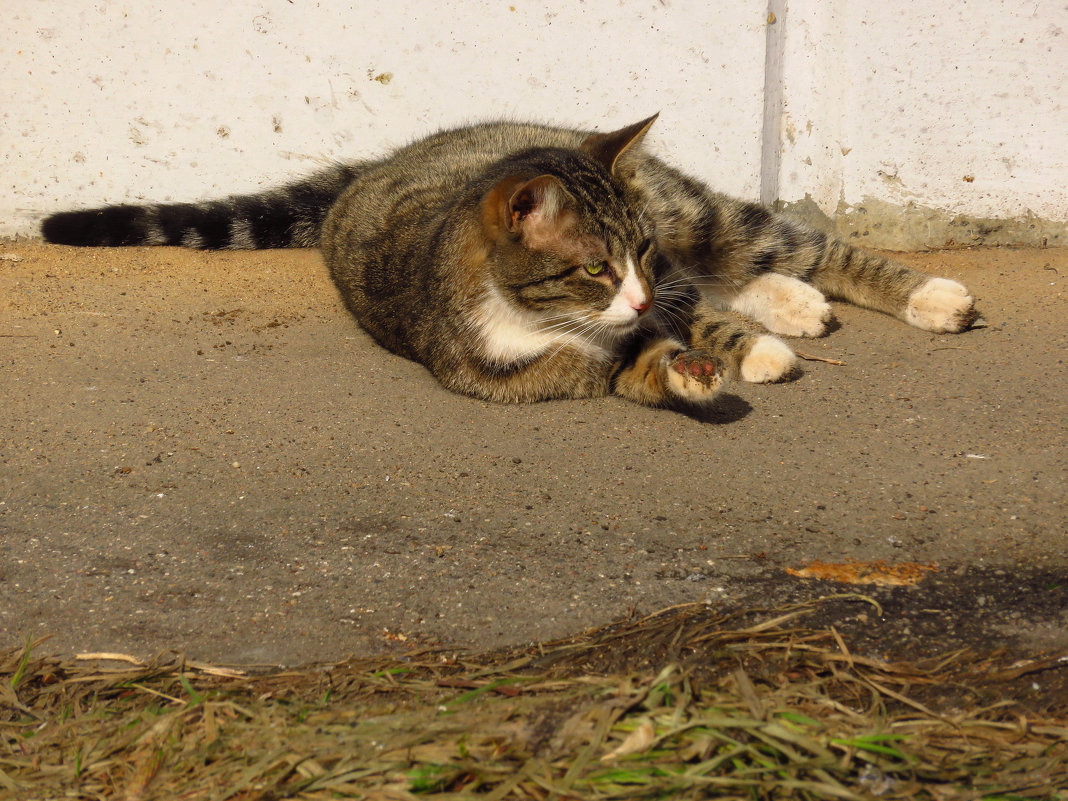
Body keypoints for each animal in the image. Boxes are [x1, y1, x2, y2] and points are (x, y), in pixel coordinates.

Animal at [39, 114, 978, 407]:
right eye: (595, 267)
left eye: (631, 254)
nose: (640, 293)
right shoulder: (559, 359)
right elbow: (656, 352)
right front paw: (710, 365)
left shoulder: (663, 274)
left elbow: (699, 308)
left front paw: (746, 349)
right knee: (740, 272)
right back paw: (794, 307)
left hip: (697, 214)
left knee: (789, 246)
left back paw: (928, 295)